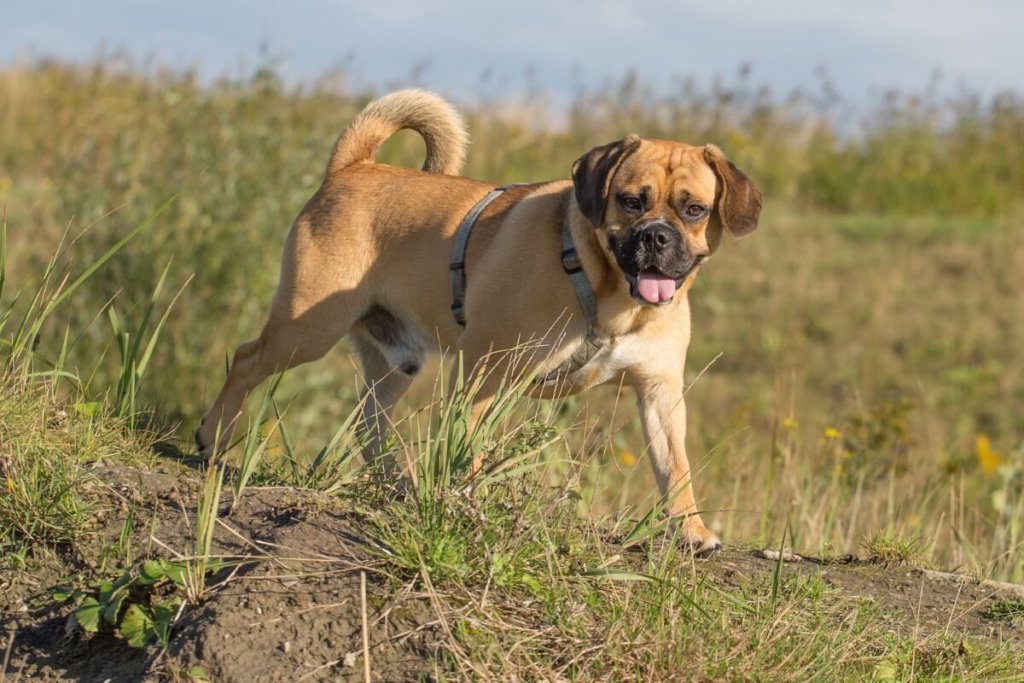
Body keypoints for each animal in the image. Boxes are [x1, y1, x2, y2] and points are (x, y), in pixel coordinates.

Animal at [197, 88, 761, 557]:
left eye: (694, 209)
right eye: (630, 201)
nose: (656, 237)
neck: (612, 297)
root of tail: (352, 168)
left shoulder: (660, 394)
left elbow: (675, 468)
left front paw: (691, 529)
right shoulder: (485, 372)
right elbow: (467, 450)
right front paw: (468, 504)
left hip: (396, 361)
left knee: (369, 422)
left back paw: (397, 485)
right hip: (306, 331)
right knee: (247, 360)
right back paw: (213, 437)